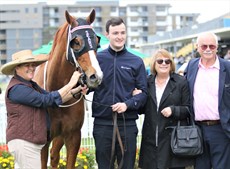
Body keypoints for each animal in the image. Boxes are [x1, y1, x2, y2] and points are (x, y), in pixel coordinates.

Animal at [33, 9, 103, 169]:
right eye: (76, 42)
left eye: (97, 42)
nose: (96, 76)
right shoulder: (43, 140)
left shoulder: (73, 136)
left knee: (54, 156)